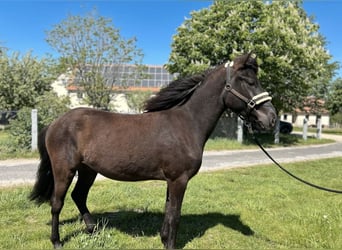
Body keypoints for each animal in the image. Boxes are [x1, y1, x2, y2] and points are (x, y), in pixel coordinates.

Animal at [29, 52, 276, 248]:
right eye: (248, 81)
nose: (271, 118)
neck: (186, 124)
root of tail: (55, 123)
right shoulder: (179, 180)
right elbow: (175, 215)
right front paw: (170, 244)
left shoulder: (172, 180)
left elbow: (168, 213)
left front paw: (164, 239)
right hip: (64, 170)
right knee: (57, 203)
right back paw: (57, 241)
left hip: (88, 170)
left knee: (78, 196)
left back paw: (92, 229)